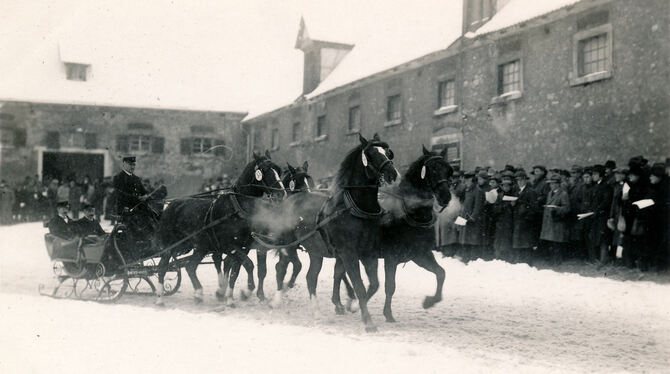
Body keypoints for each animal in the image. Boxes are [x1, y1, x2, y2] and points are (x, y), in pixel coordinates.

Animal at [155, 149, 286, 304]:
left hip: (200, 246)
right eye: (265, 170)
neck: (236, 209)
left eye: (278, 170)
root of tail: (170, 205)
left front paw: (231, 296)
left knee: (190, 266)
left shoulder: (244, 247)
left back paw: (198, 293)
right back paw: (160, 298)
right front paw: (246, 291)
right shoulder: (229, 246)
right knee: (162, 266)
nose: (281, 194)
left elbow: (237, 269)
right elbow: (248, 265)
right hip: (171, 245)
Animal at [270, 133, 402, 332]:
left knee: (310, 278)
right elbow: (358, 285)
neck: (354, 209)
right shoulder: (348, 254)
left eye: (388, 152)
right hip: (289, 245)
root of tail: (290, 199)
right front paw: (367, 320)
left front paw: (352, 306)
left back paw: (317, 312)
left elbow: (373, 284)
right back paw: (277, 299)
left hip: (315, 252)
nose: (393, 174)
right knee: (282, 267)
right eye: (370, 154)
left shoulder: (368, 254)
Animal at [332, 146, 454, 322]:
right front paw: (386, 313)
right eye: (433, 169)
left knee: (339, 273)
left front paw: (429, 301)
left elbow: (441, 273)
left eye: (449, 170)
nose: (446, 196)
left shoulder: (421, 254)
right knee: (341, 273)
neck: (409, 214)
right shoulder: (391, 257)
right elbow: (390, 286)